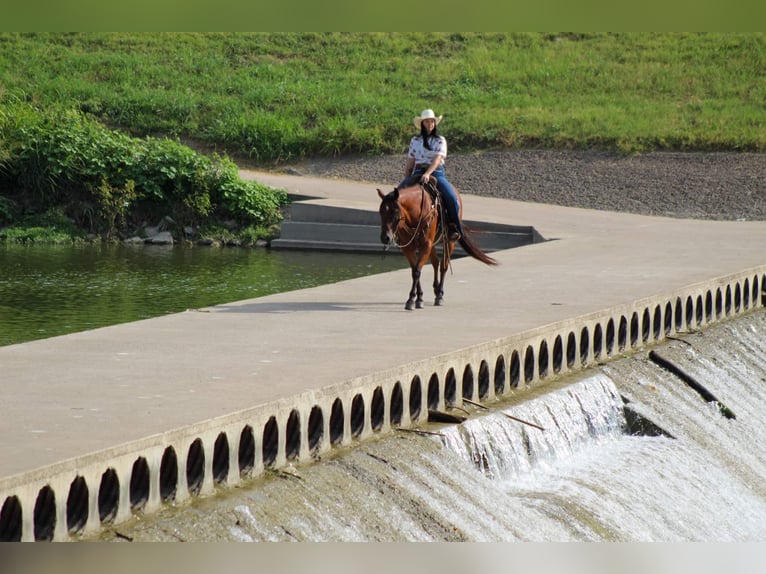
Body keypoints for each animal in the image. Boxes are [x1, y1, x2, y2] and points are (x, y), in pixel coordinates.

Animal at [377, 182, 497, 310]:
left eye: (394, 212)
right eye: (381, 211)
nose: (385, 237)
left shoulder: (426, 245)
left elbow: (417, 271)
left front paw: (411, 300)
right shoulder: (408, 248)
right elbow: (415, 270)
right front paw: (419, 298)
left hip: (449, 242)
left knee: (444, 266)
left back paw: (439, 294)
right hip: (433, 245)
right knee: (436, 262)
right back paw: (435, 288)